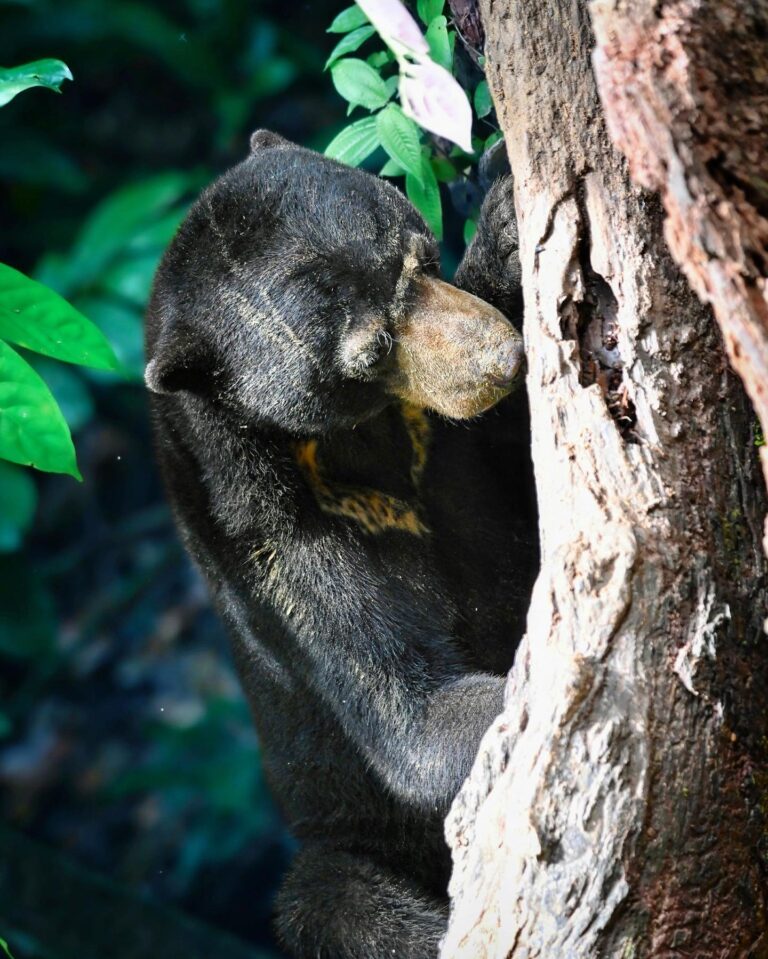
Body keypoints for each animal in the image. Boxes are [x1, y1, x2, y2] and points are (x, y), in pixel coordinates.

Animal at [144, 129, 538, 959]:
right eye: (372, 348)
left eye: (419, 260)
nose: (499, 359)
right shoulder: (281, 560)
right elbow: (414, 718)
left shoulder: (453, 446)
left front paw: (506, 211)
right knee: (333, 900)